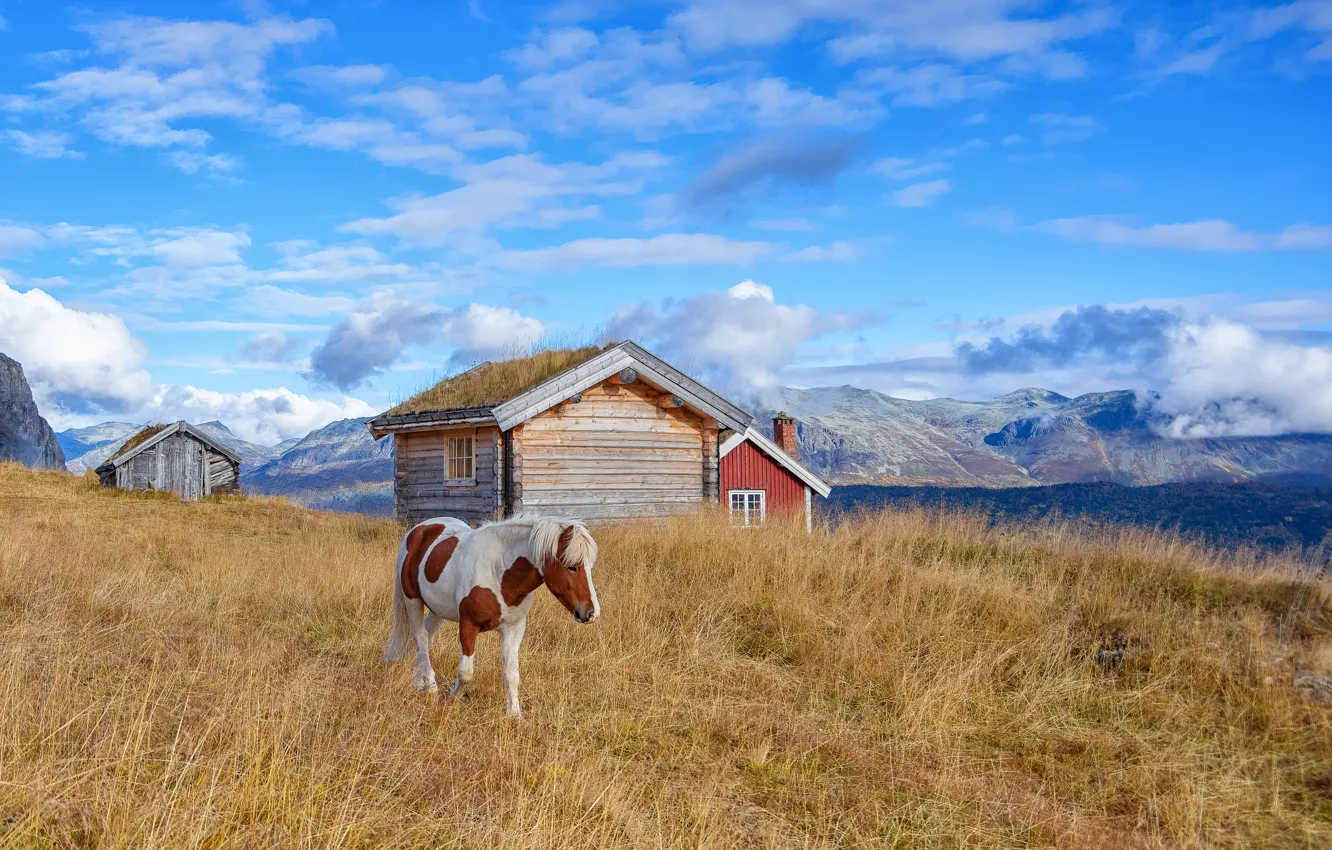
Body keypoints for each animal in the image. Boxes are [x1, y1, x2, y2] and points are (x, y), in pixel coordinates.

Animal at [382, 514, 600, 719]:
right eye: (571, 566)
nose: (591, 613)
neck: (500, 572)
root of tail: (417, 530)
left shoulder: (514, 629)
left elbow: (512, 675)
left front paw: (515, 716)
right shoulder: (468, 625)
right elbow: (466, 673)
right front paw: (450, 699)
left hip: (437, 610)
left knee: (426, 639)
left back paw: (419, 682)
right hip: (413, 600)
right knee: (420, 639)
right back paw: (431, 687)